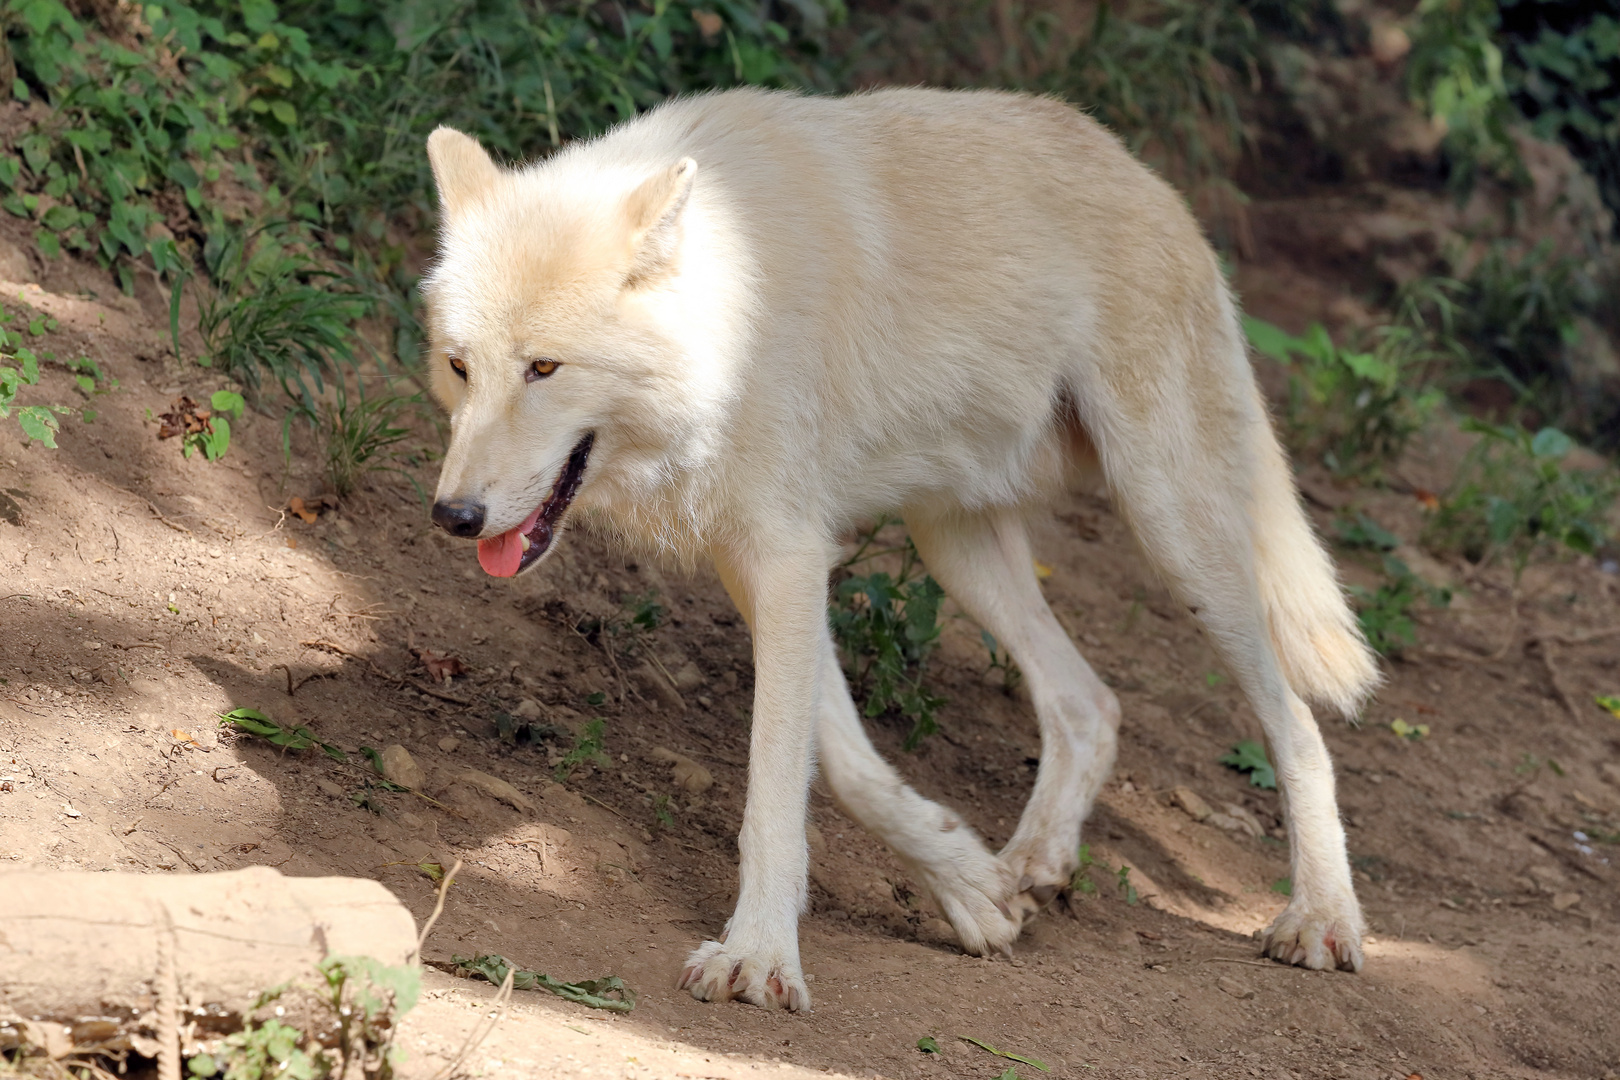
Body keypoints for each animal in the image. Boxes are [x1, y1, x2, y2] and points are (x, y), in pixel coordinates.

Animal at [421, 86, 1380, 1016]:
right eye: (461, 367)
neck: (731, 312)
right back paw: (1034, 864)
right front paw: (973, 887)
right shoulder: (767, 564)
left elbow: (778, 787)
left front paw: (758, 956)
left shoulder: (787, 556)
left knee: (1296, 725)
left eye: (545, 369)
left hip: (1173, 529)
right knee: (1090, 702)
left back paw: (1322, 919)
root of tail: (1147, 177)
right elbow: (847, 768)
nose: (454, 516)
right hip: (957, 545)